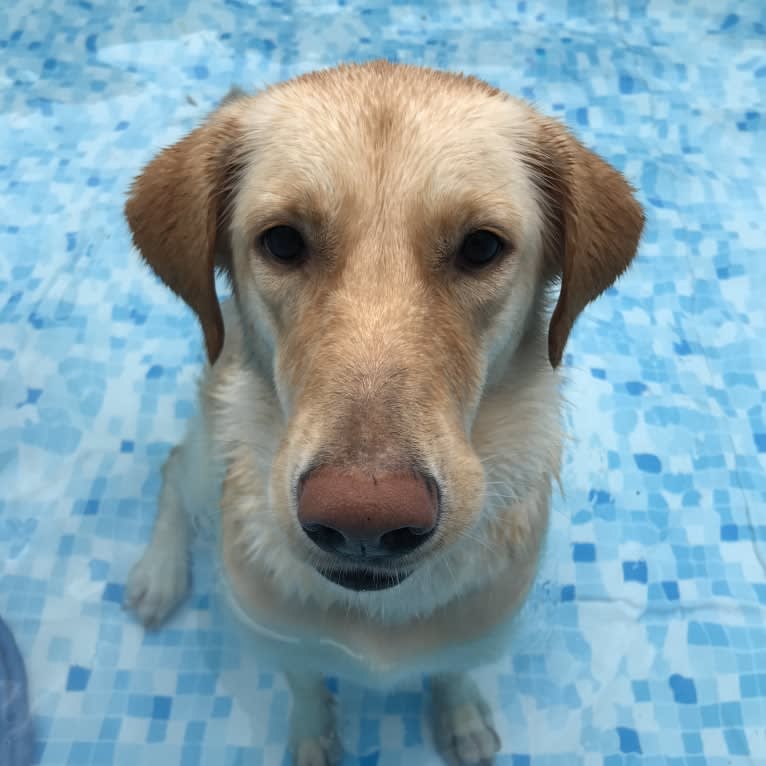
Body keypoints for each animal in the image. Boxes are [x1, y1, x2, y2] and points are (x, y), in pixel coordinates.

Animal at [123, 61, 644, 766]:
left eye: (482, 248)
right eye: (282, 241)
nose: (364, 521)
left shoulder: (478, 631)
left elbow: (452, 672)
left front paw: (462, 719)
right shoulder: (282, 639)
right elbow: (308, 689)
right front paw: (312, 740)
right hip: (212, 453)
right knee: (174, 472)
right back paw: (159, 573)